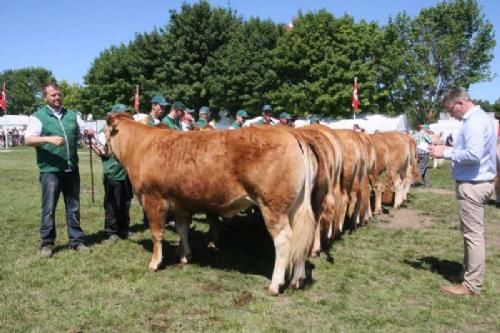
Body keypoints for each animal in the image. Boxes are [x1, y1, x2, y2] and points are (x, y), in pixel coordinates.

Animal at [104, 113, 316, 294]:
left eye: (104, 130)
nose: (101, 148)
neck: (141, 146)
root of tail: (290, 133)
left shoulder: (152, 199)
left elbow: (157, 233)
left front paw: (155, 263)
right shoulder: (181, 203)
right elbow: (182, 229)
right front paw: (185, 256)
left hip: (272, 205)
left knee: (284, 239)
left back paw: (275, 284)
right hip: (295, 207)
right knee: (300, 237)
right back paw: (298, 279)